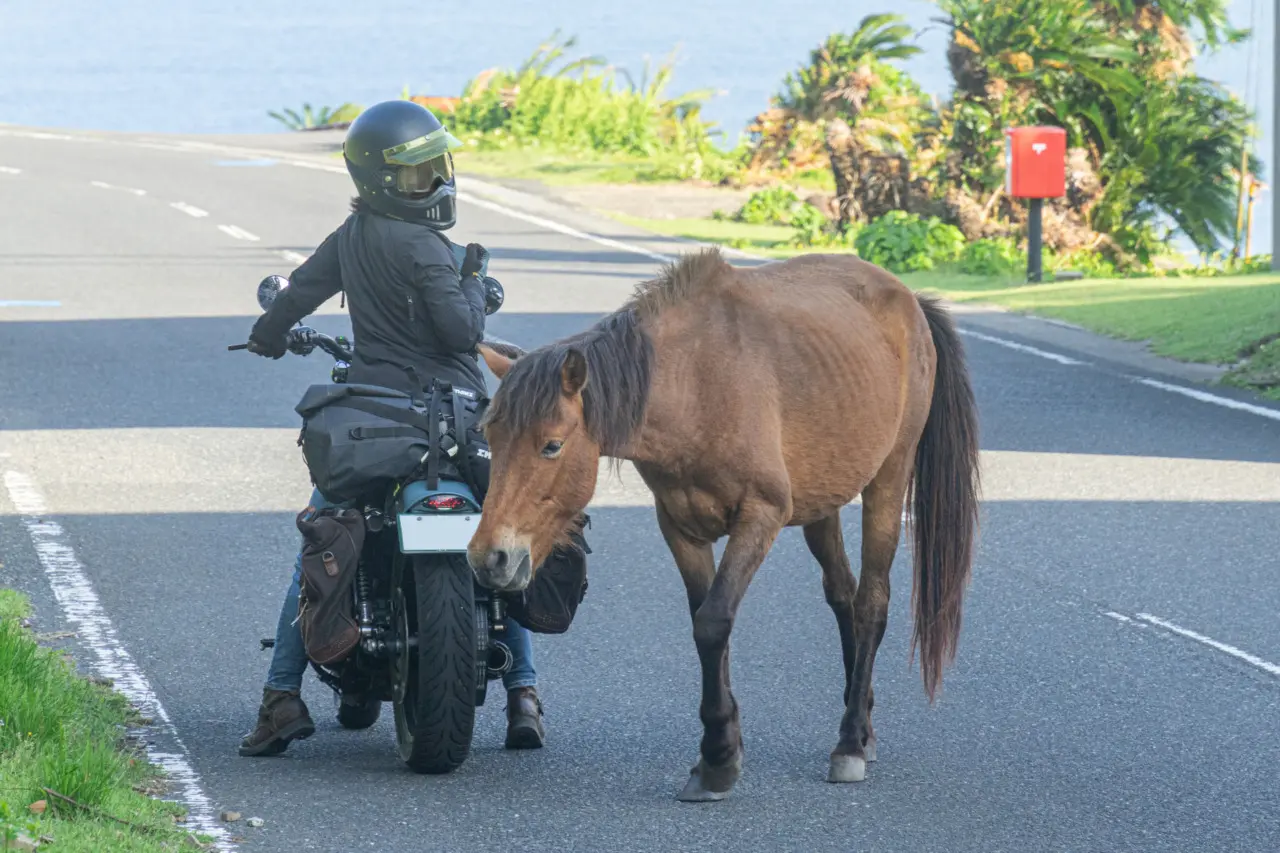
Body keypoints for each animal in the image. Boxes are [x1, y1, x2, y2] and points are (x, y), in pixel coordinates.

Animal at [471, 245, 977, 799]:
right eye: (489, 437)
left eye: (552, 445)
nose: (489, 556)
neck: (696, 384)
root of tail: (908, 299)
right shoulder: (680, 528)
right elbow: (708, 625)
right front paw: (724, 743)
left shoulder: (761, 516)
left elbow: (714, 623)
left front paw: (717, 758)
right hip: (822, 504)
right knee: (842, 594)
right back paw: (861, 724)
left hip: (887, 479)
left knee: (871, 604)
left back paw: (849, 743)